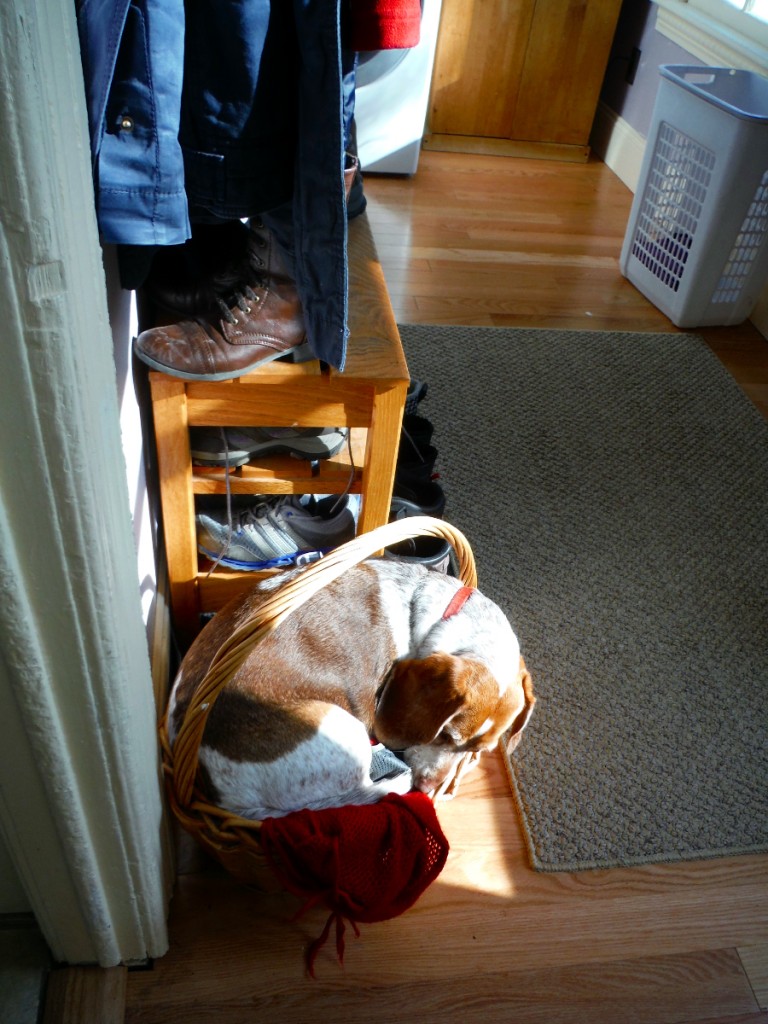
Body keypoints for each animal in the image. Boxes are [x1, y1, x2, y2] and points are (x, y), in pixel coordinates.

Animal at [168, 559, 535, 820]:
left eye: (478, 751)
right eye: (443, 734)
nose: (427, 789)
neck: (438, 616)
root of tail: (230, 801)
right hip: (343, 726)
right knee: (367, 788)